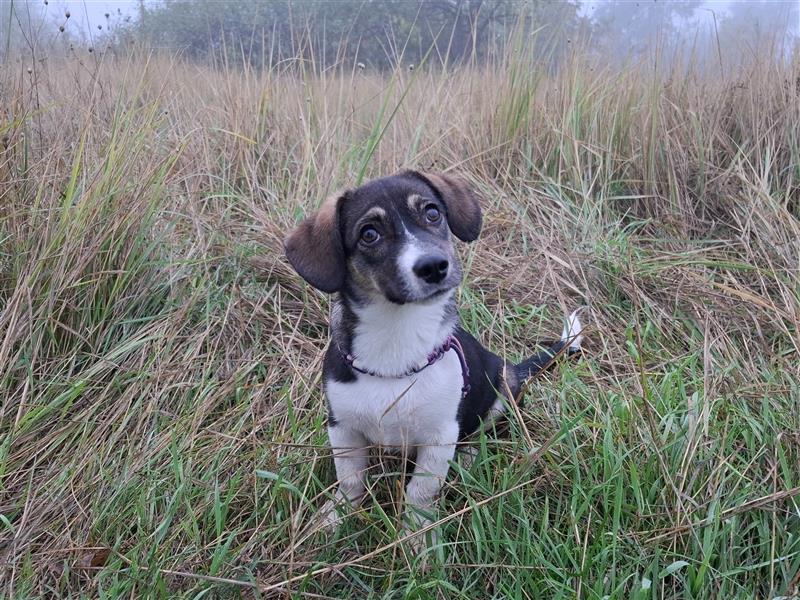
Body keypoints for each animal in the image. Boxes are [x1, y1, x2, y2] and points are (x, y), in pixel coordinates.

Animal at [282, 170, 580, 544]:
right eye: (369, 234)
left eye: (432, 213)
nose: (434, 267)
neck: (397, 335)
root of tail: (513, 368)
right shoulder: (343, 428)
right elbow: (350, 480)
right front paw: (334, 518)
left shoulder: (439, 435)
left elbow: (420, 492)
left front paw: (416, 538)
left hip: (501, 390)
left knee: (480, 433)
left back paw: (466, 459)